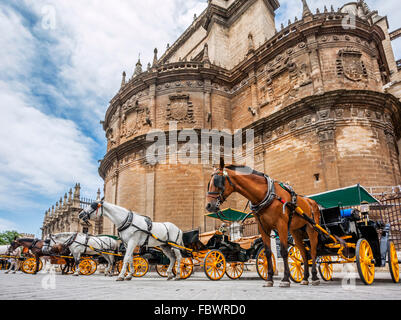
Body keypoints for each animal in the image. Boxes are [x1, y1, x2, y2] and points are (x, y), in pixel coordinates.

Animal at [205, 159, 320, 288]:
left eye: (217, 181)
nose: (208, 205)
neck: (267, 194)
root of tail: (312, 201)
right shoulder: (263, 227)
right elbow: (268, 252)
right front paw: (269, 279)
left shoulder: (281, 225)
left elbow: (283, 251)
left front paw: (285, 279)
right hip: (296, 231)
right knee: (304, 252)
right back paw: (305, 278)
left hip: (311, 228)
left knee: (313, 251)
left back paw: (314, 277)